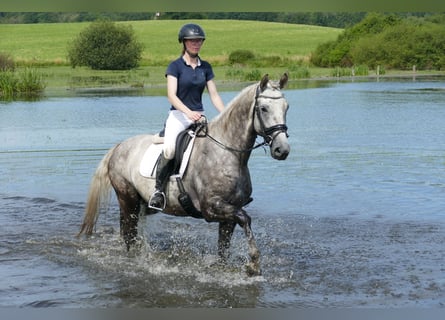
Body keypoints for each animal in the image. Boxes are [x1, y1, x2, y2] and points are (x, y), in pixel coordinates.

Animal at [77, 73, 290, 276]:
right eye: (264, 108)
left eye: (286, 108)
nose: (282, 150)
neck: (227, 152)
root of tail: (119, 146)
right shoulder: (211, 208)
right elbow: (246, 218)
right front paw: (254, 264)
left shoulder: (229, 213)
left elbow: (224, 249)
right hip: (127, 199)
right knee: (128, 234)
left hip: (142, 204)